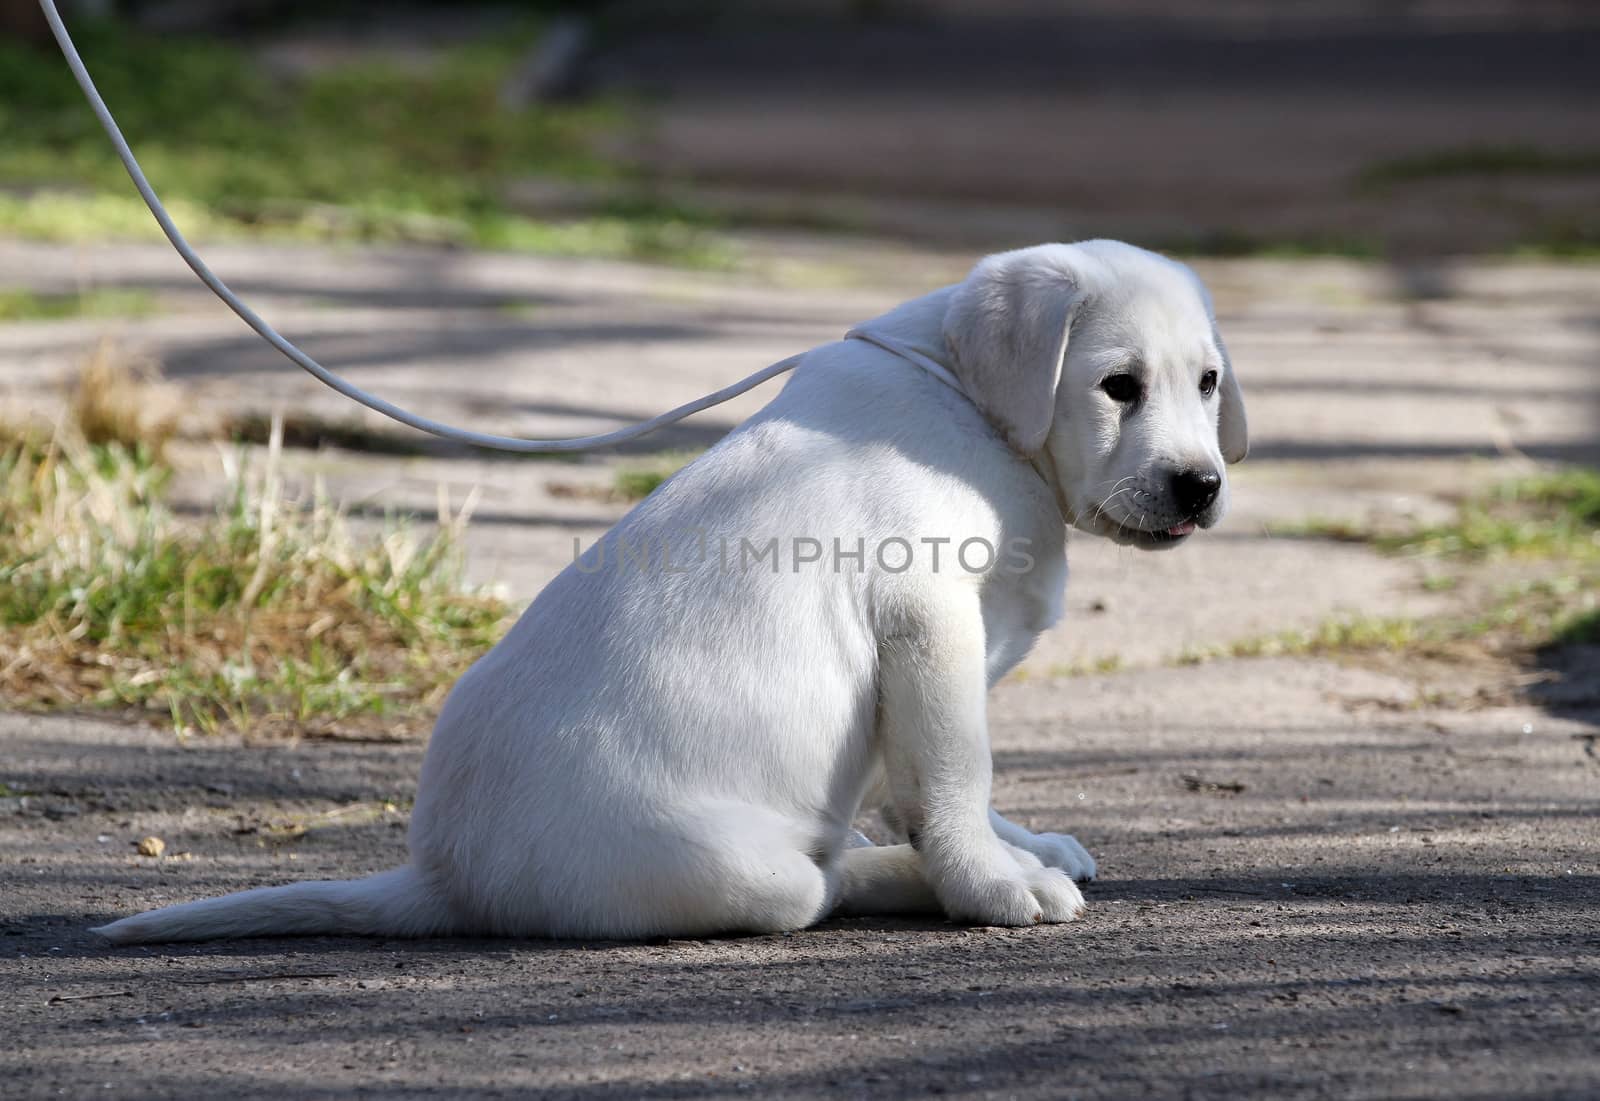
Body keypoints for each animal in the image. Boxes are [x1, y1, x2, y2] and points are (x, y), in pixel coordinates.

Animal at [96, 240, 1248, 947]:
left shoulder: (927, 664)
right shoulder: (924, 619)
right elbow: (954, 774)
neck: (970, 404)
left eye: (1207, 383)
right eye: (1116, 387)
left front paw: (1015, 845)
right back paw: (894, 880)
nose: (1201, 485)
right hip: (739, 871)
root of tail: (443, 876)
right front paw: (992, 881)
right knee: (817, 883)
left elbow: (922, 776)